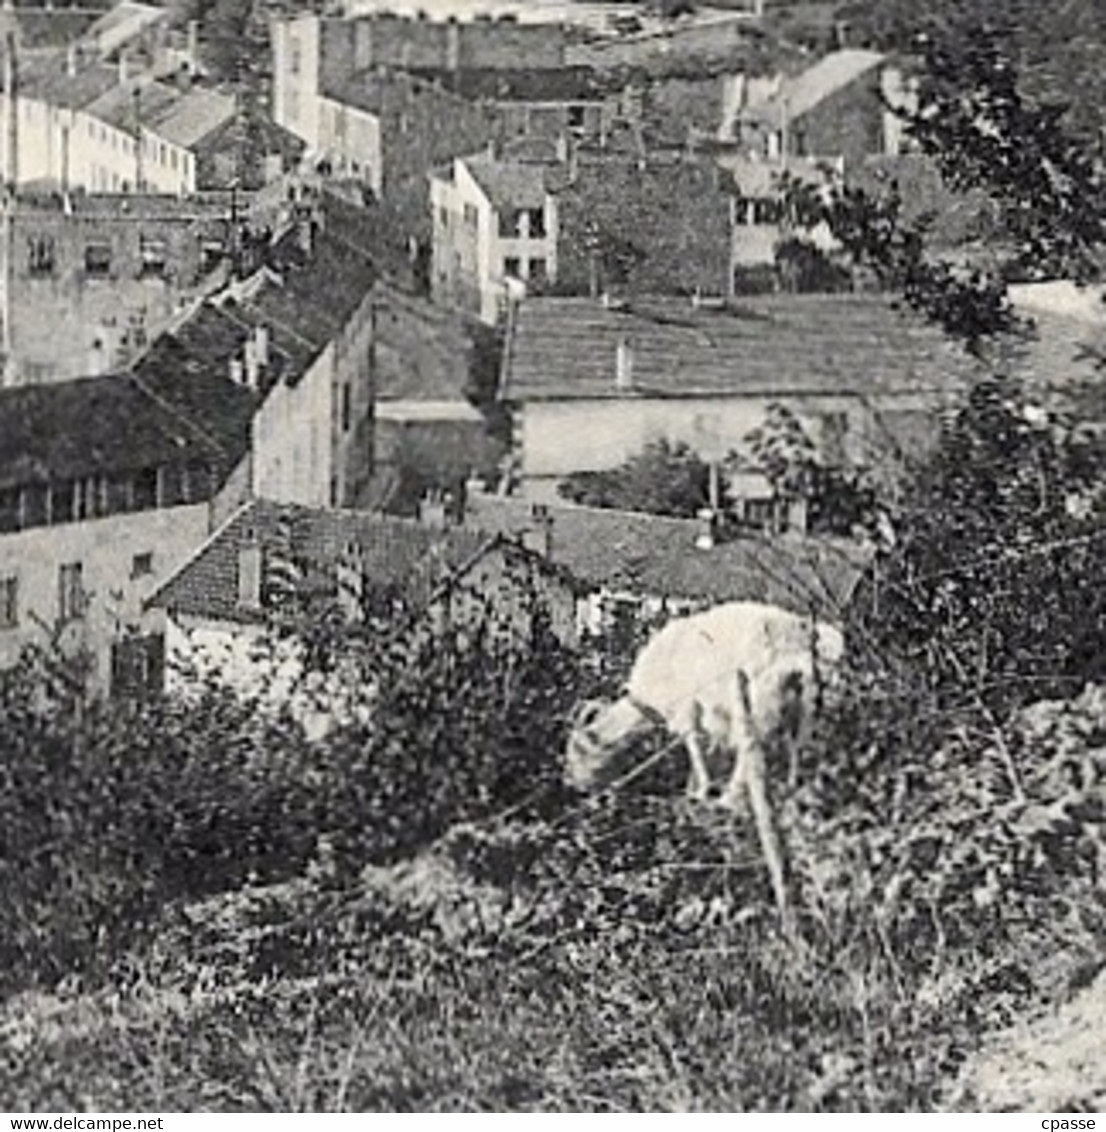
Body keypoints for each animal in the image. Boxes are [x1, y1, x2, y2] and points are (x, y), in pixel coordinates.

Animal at [566, 602, 842, 919]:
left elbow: (694, 750)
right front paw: (697, 790)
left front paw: (699, 794)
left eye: (577, 754)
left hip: (758, 702)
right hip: (809, 707)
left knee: (750, 757)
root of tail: (803, 641)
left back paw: (730, 802)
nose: (574, 787)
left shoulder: (686, 710)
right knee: (800, 754)